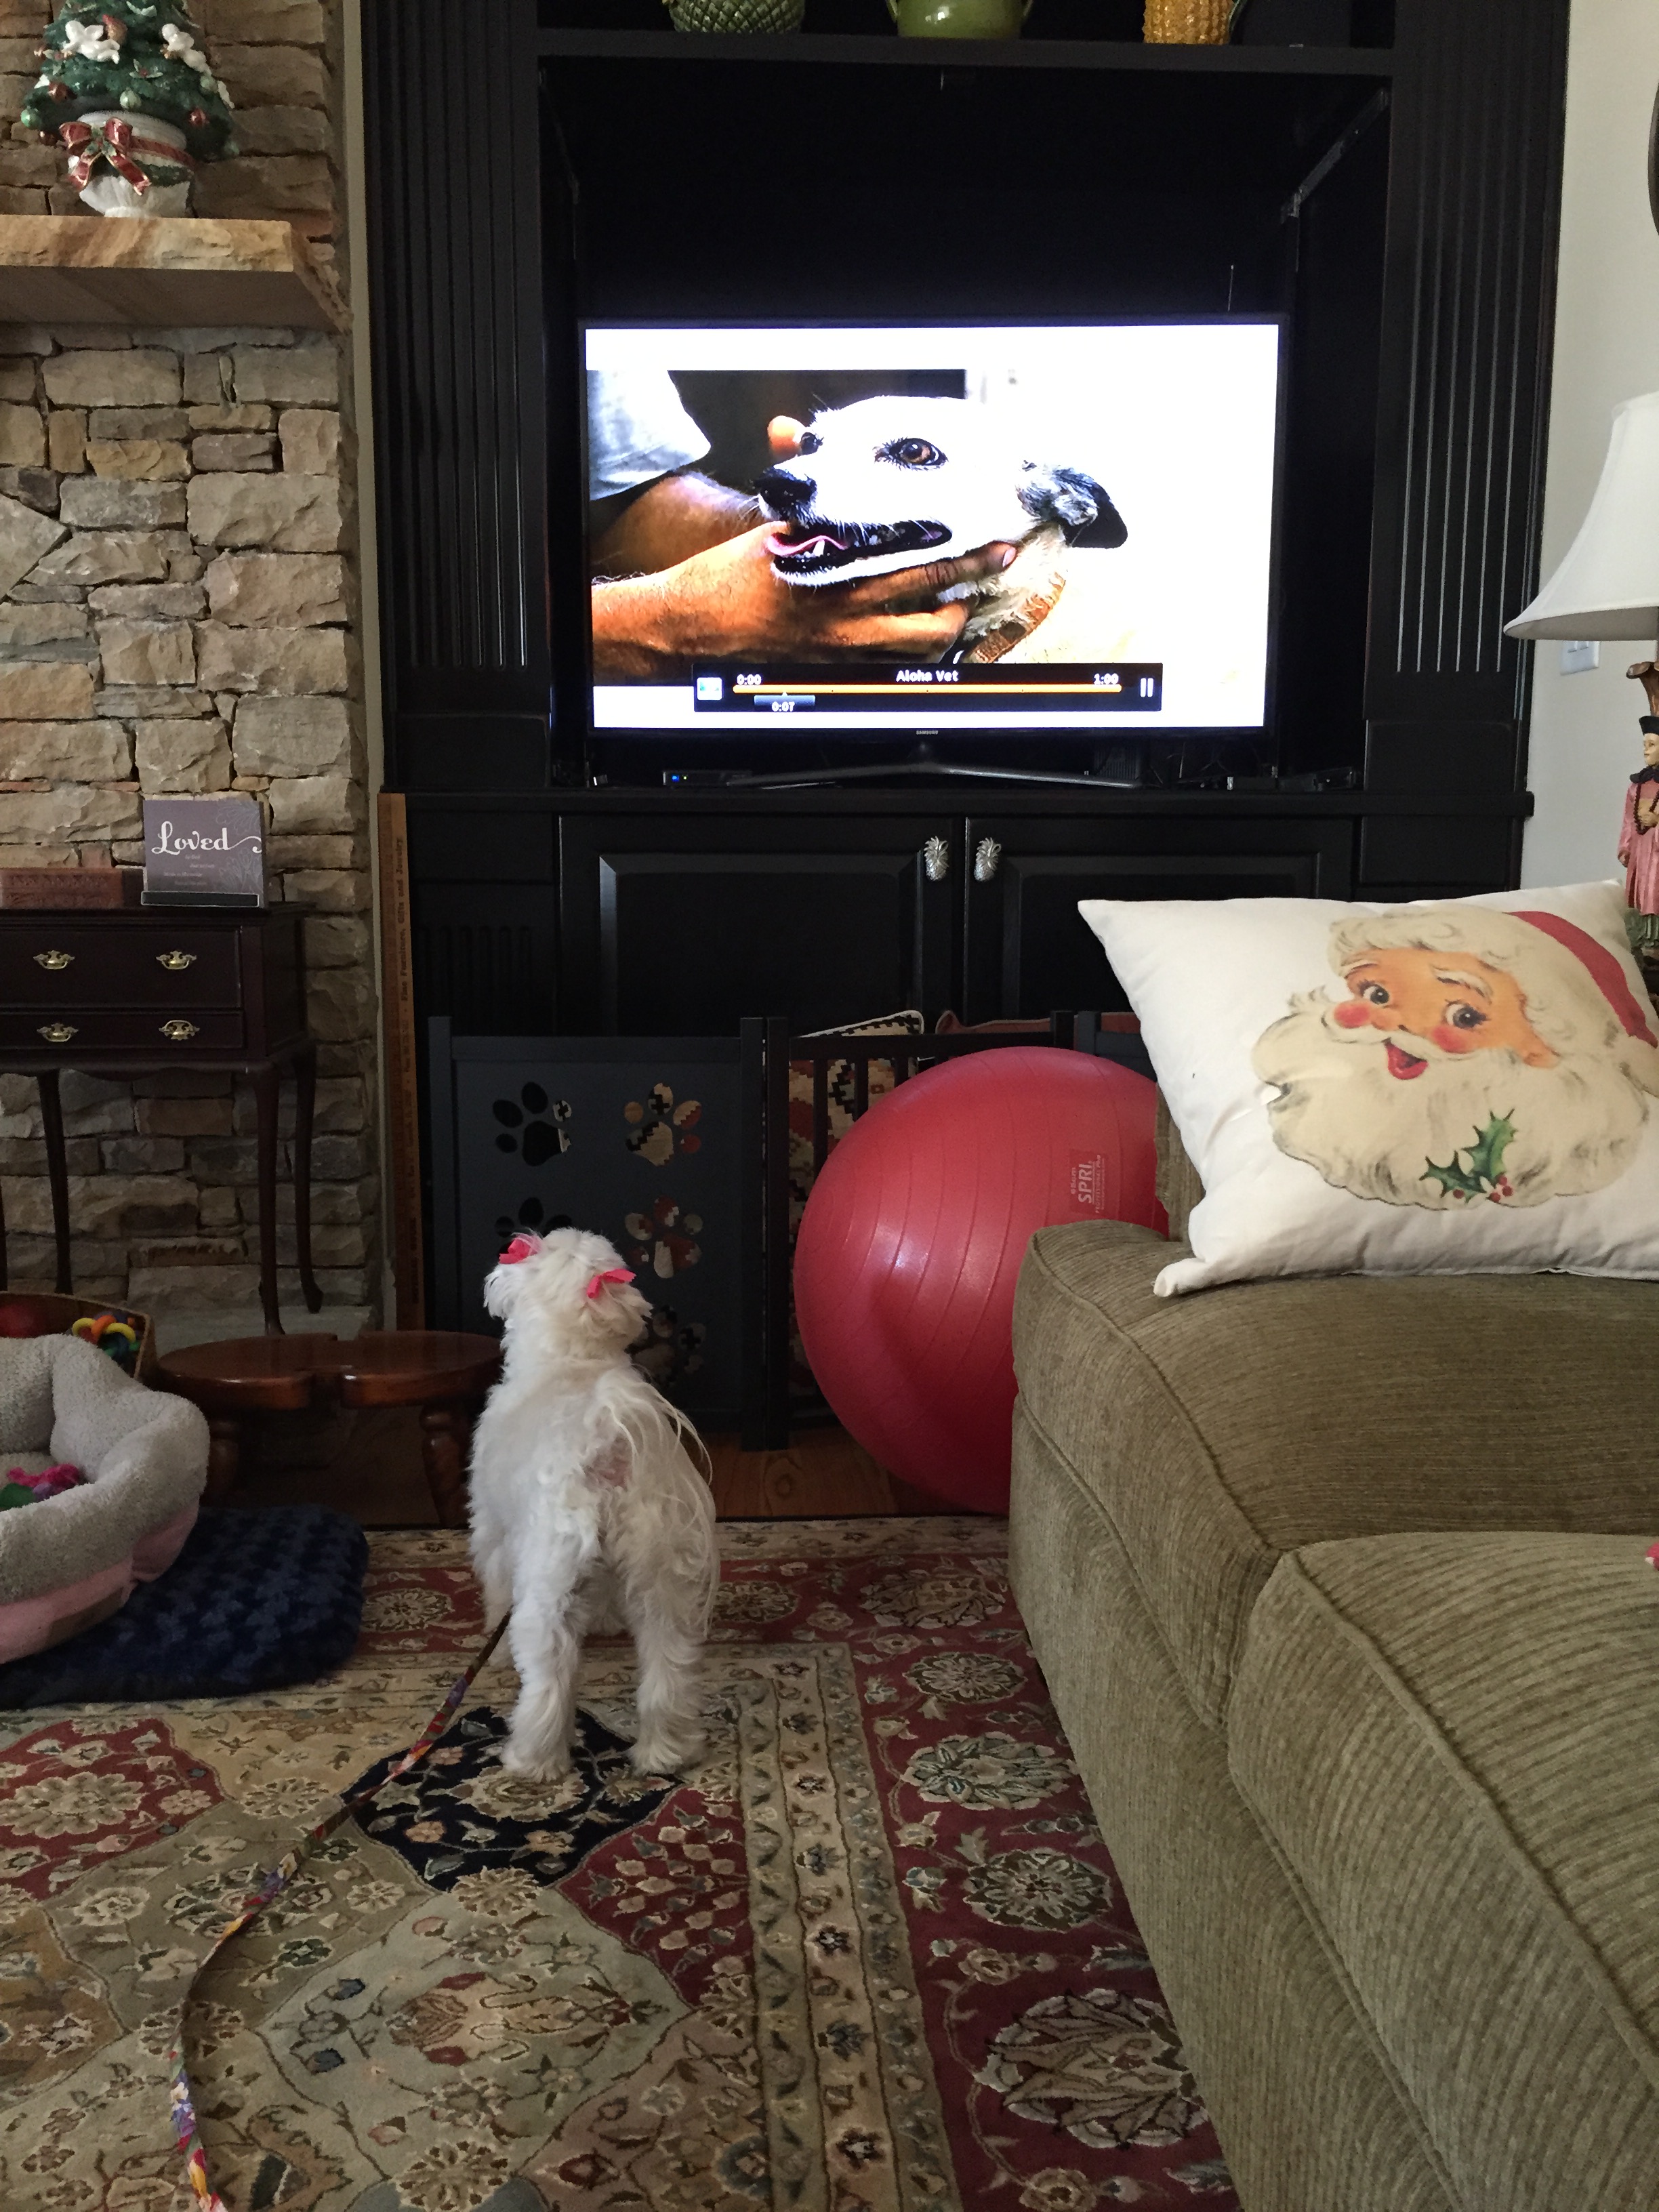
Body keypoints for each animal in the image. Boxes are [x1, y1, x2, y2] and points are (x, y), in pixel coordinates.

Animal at [471, 1229, 725, 1778]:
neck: (573, 1364)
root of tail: (610, 1438)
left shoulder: (494, 1527)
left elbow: (495, 1585)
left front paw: (493, 1651)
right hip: (661, 1577)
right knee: (668, 1665)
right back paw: (667, 1752)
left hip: (549, 1581)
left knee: (549, 1676)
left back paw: (533, 1759)